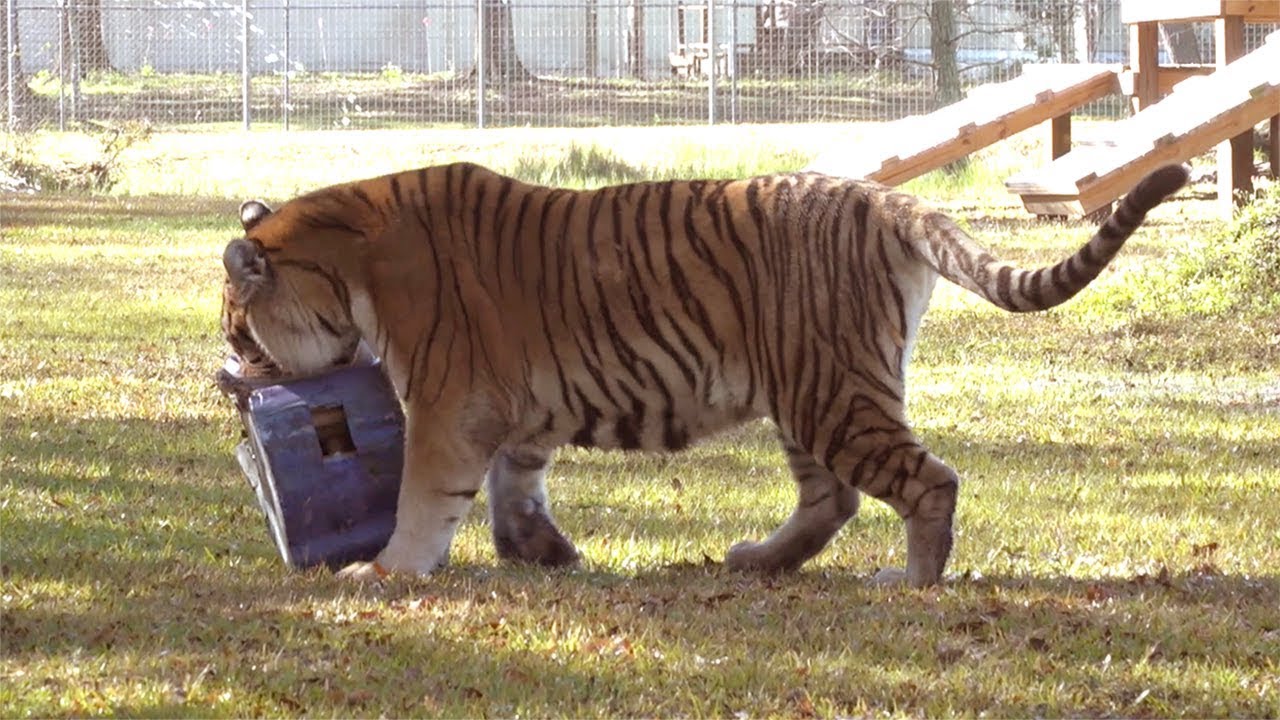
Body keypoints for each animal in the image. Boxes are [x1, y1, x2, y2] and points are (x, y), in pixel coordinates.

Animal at [220, 161, 1188, 586]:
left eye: (236, 329)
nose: (228, 382)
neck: (346, 261)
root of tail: (882, 195)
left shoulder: (447, 405)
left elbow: (426, 498)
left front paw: (385, 571)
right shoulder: (510, 410)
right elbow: (513, 487)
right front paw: (543, 552)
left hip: (832, 391)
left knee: (929, 480)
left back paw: (910, 581)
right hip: (805, 390)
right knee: (832, 497)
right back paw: (759, 560)